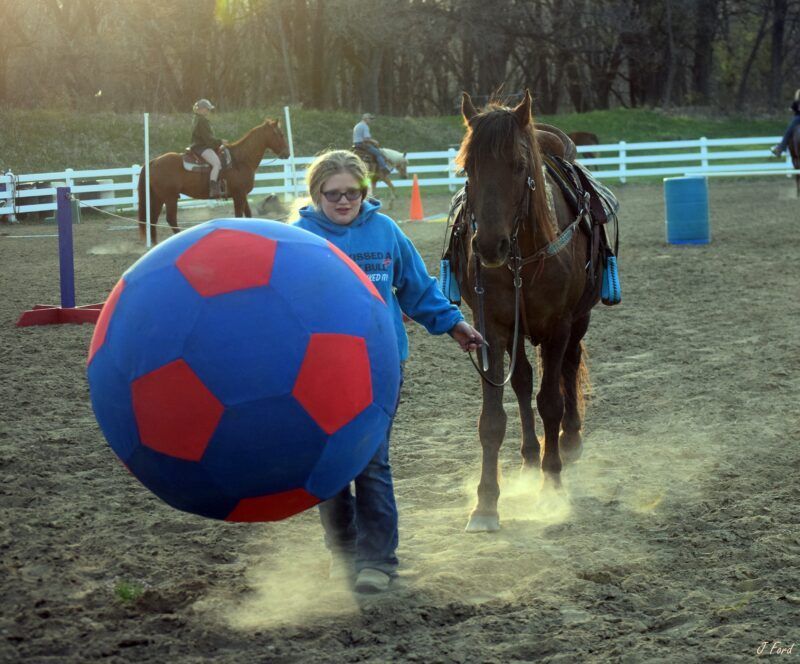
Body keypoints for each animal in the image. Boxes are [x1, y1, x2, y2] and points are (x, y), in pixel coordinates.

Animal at [136, 118, 290, 244]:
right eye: (281, 134)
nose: (287, 154)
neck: (240, 160)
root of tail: (153, 161)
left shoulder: (243, 195)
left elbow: (248, 216)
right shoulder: (239, 195)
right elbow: (239, 216)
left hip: (158, 198)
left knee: (153, 220)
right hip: (170, 198)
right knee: (170, 219)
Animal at [456, 91, 600, 532]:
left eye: (519, 166)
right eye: (468, 167)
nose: (489, 246)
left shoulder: (558, 326)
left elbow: (551, 401)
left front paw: (552, 486)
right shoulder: (491, 327)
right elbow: (491, 419)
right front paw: (486, 503)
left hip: (579, 321)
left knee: (569, 368)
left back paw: (569, 441)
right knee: (521, 381)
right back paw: (529, 457)